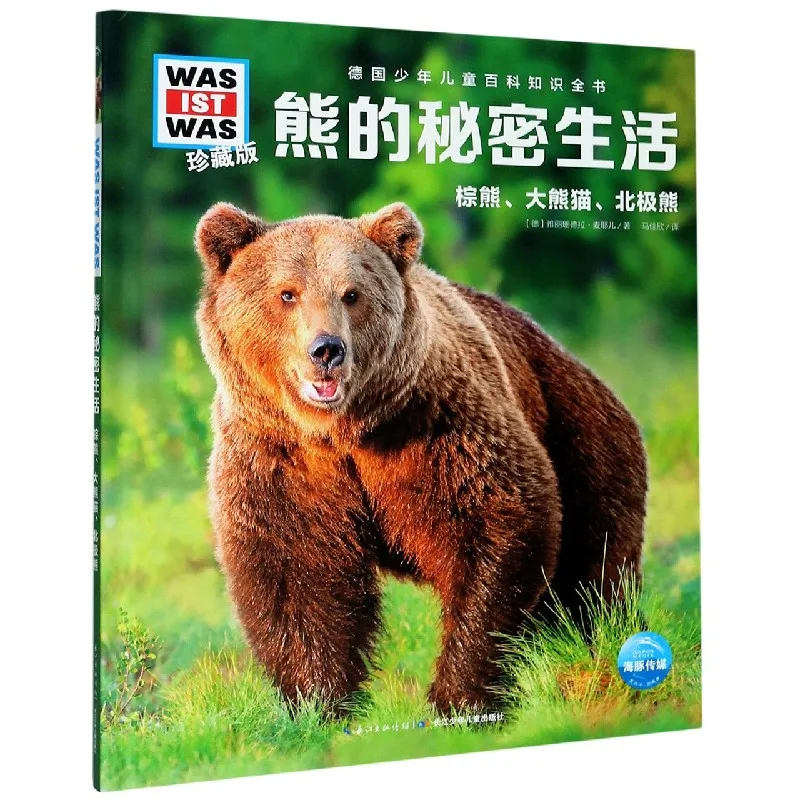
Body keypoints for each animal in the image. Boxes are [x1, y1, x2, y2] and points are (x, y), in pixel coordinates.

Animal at [195, 201, 648, 713]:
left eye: (351, 294)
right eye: (287, 293)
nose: (326, 350)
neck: (341, 431)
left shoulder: (436, 426)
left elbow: (495, 524)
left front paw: (459, 696)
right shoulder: (279, 456)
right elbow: (297, 574)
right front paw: (320, 701)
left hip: (580, 436)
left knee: (592, 572)